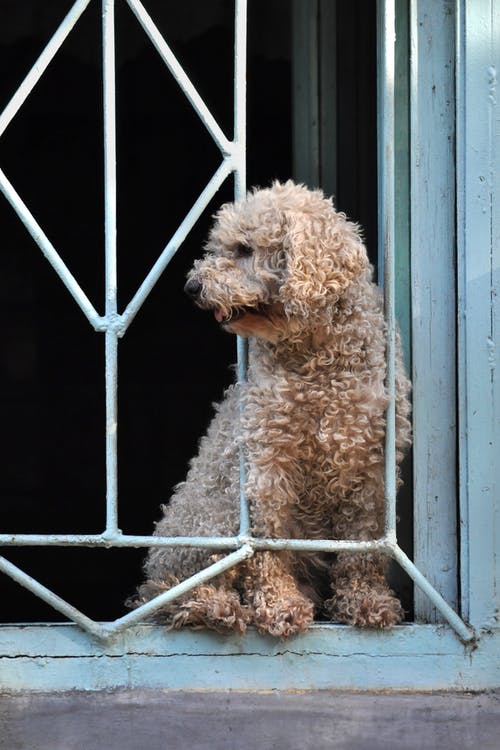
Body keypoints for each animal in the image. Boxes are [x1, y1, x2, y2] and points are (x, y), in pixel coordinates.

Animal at [130, 181, 410, 636]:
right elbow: (266, 546)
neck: (316, 358)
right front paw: (279, 607)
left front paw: (366, 600)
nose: (191, 286)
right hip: (214, 511)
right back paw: (214, 607)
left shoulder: (371, 469)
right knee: (172, 592)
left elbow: (364, 546)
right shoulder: (268, 461)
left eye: (245, 249)